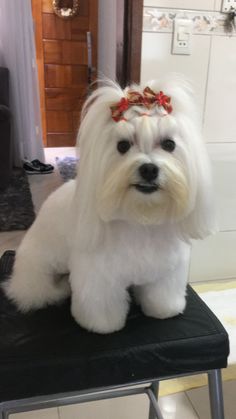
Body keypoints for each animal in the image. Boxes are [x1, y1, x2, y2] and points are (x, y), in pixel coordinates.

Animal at [5, 76, 216, 334]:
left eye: (169, 144)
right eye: (123, 146)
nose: (149, 169)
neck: (140, 218)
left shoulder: (166, 272)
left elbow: (161, 294)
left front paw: (164, 310)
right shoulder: (99, 276)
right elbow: (101, 303)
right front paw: (102, 325)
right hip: (38, 269)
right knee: (36, 288)